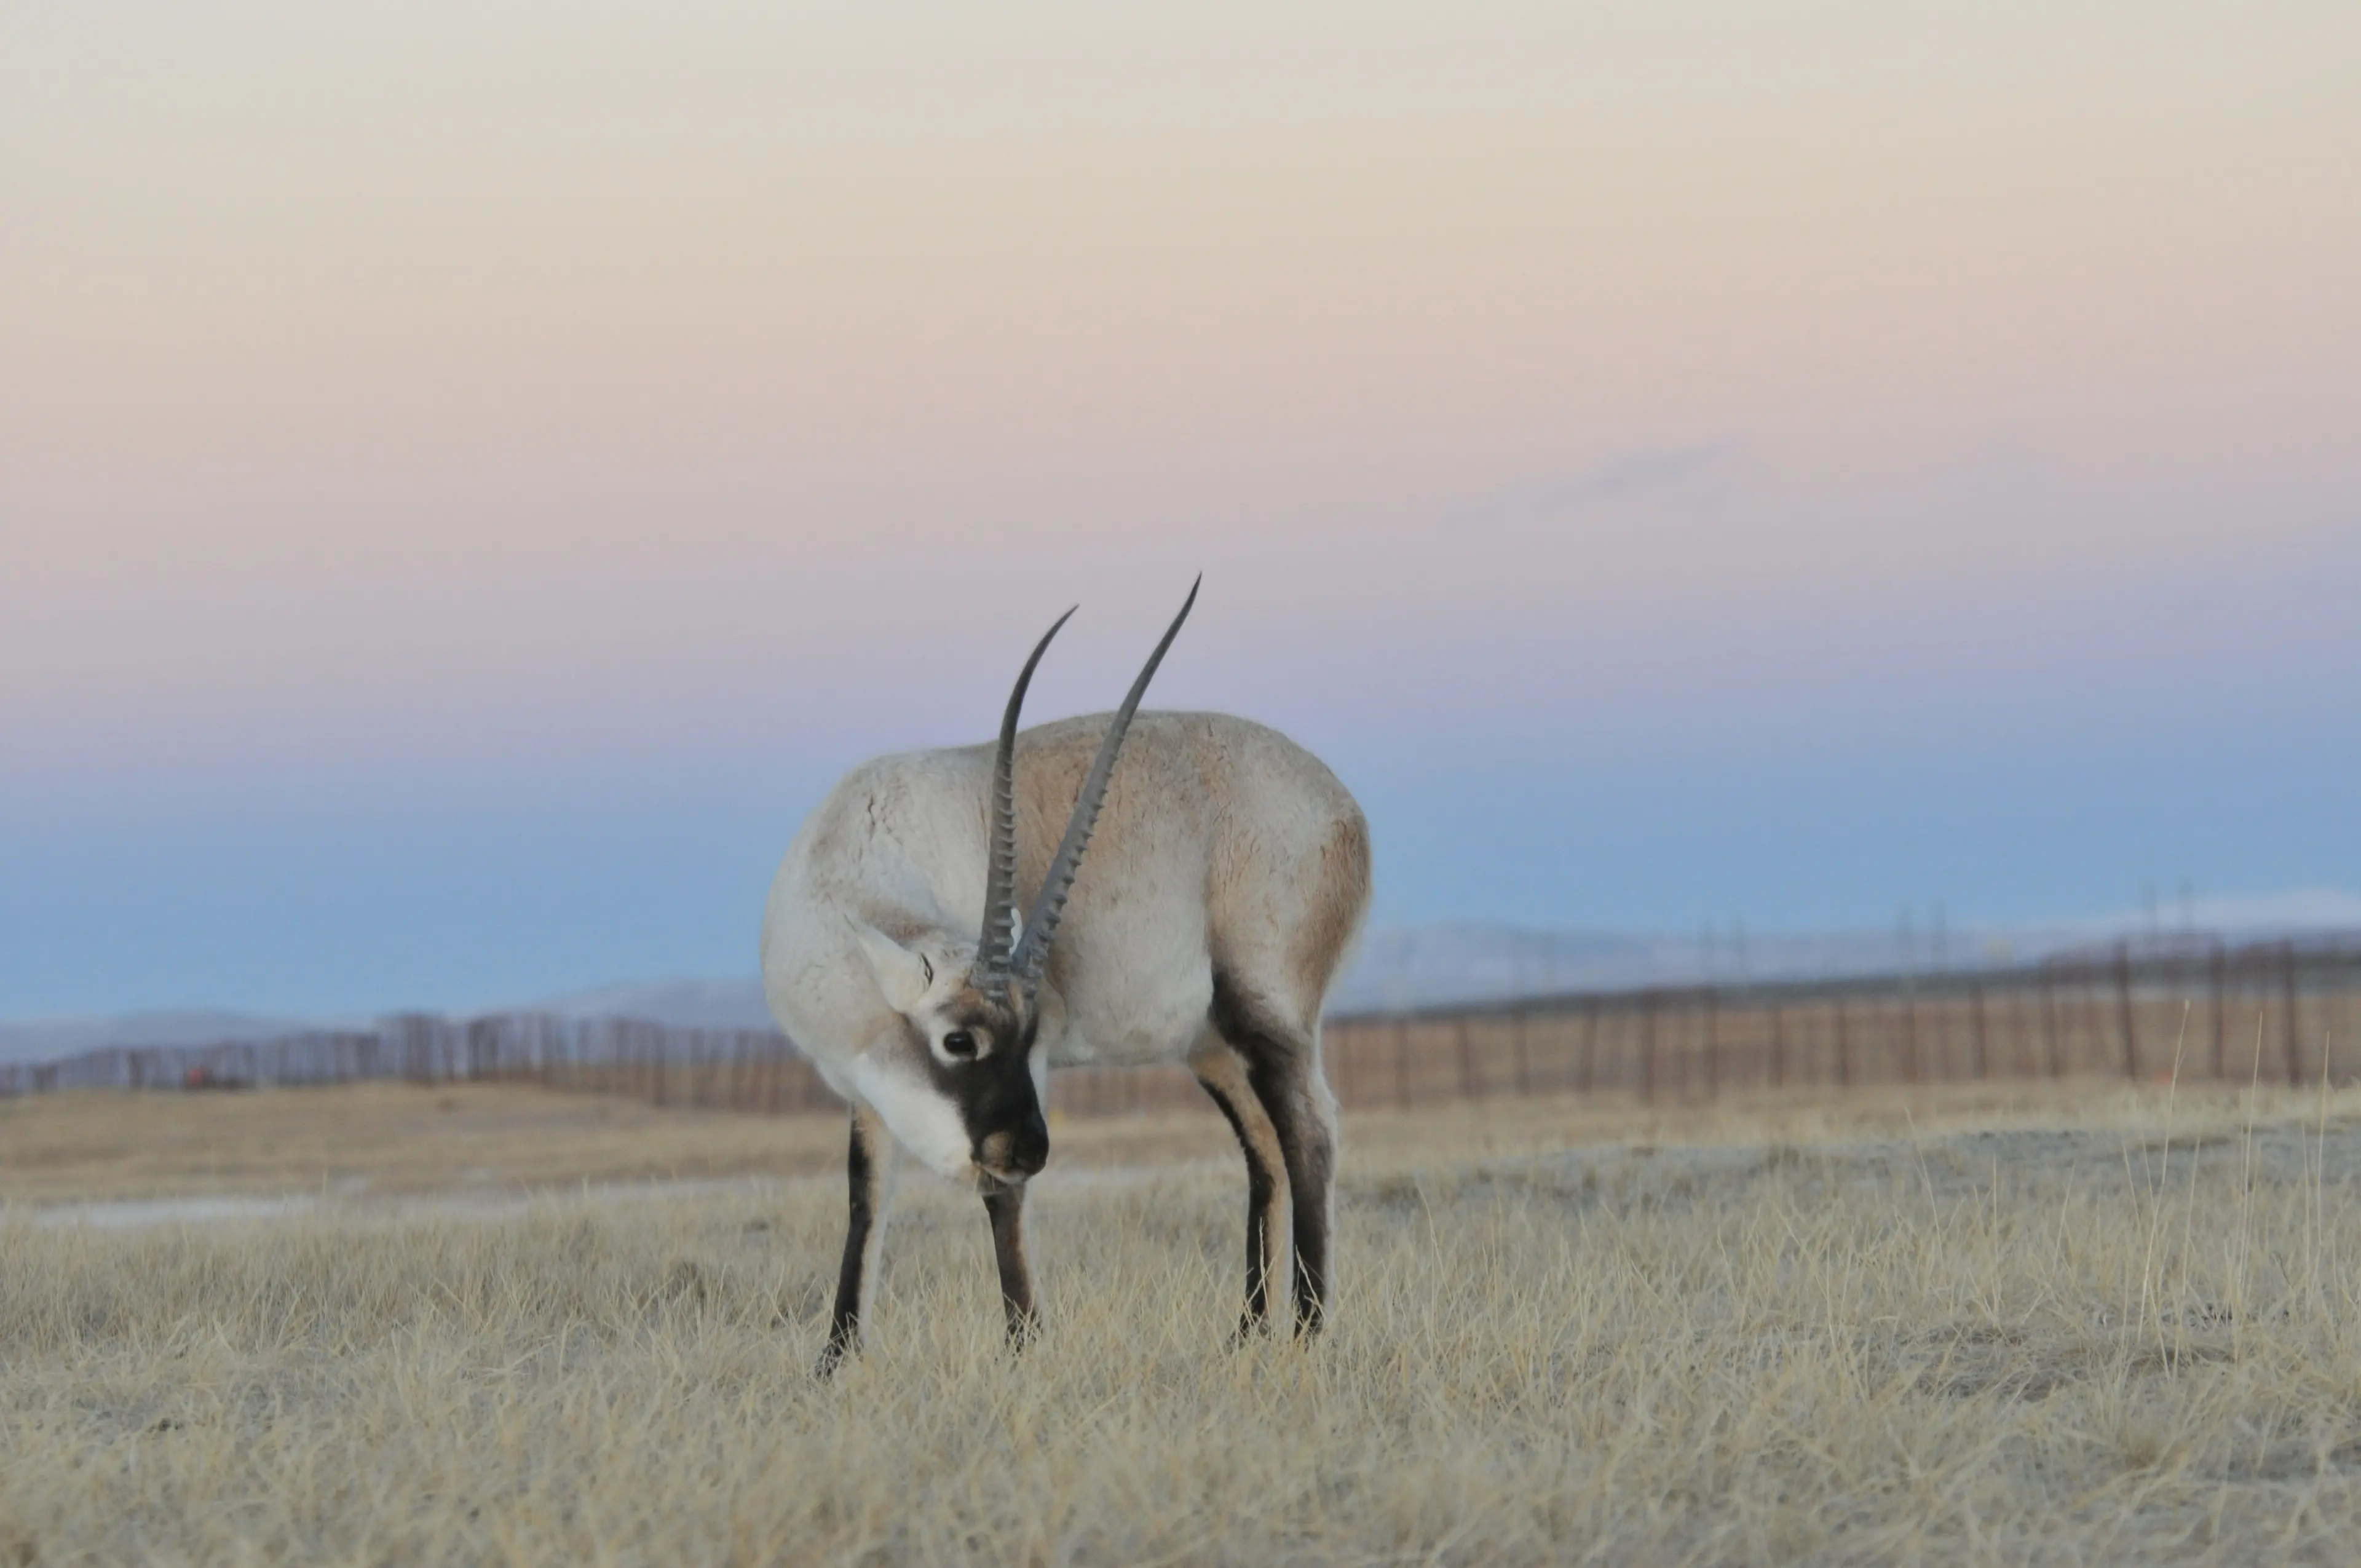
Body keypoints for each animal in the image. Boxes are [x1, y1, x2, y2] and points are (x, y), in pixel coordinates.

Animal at [760, 581, 1370, 1370]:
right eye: (958, 1041)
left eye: (1029, 1035)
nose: (1033, 1149)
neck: (858, 854)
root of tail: (1345, 811)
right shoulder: (865, 1093)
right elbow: (866, 1201)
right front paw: (834, 1362)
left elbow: (1002, 1198)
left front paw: (1023, 1348)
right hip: (1210, 1045)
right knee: (1264, 1146)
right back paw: (1244, 1334)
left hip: (1269, 1013)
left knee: (1309, 1133)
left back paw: (1306, 1331)